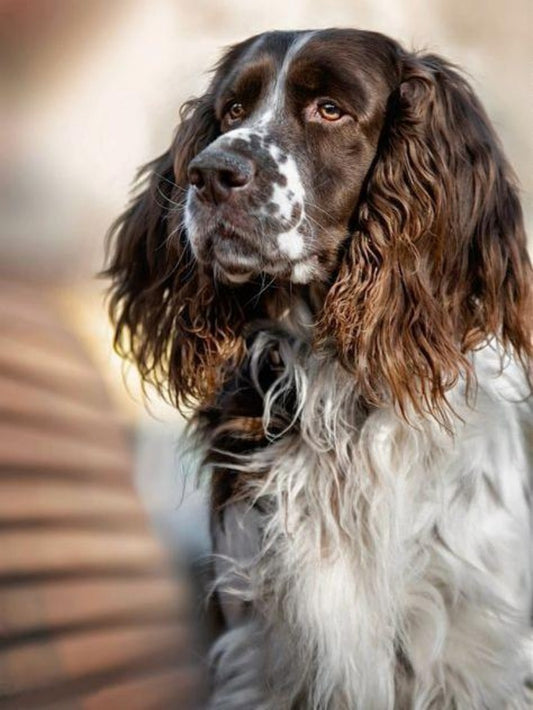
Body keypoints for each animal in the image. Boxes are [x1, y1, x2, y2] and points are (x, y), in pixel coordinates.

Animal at [106, 29, 528, 710]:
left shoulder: (468, 649)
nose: (209, 174)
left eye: (330, 109)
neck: (337, 385)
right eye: (232, 110)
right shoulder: (265, 652)